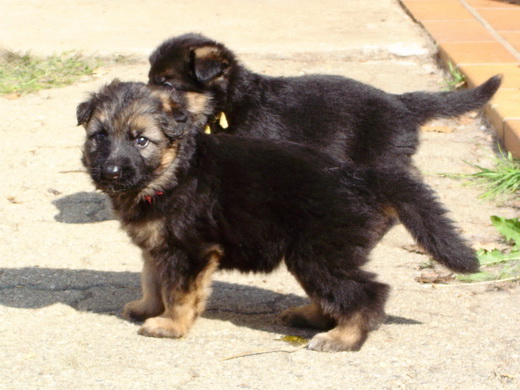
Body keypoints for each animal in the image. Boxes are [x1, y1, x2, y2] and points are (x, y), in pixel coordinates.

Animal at [77, 80, 480, 352]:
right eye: (99, 137)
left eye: (141, 140)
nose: (111, 171)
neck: (173, 172)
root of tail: (359, 176)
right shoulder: (157, 247)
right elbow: (151, 280)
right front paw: (147, 308)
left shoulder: (190, 251)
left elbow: (178, 292)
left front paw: (170, 326)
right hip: (316, 254)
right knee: (336, 295)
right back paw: (311, 316)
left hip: (319, 253)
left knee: (366, 293)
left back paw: (342, 337)